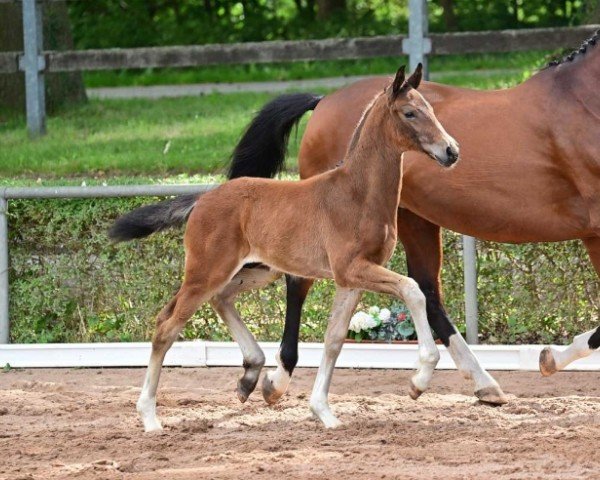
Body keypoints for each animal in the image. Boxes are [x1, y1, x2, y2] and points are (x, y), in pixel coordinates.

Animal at [111, 65, 460, 430]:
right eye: (409, 113)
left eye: (431, 109)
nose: (451, 151)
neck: (356, 194)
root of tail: (202, 199)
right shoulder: (353, 268)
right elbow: (413, 290)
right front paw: (419, 380)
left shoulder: (351, 278)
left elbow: (334, 339)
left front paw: (324, 412)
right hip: (206, 271)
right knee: (167, 325)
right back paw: (149, 417)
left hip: (255, 271)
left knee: (218, 300)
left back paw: (250, 375)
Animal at [227, 30, 600, 404]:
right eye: (409, 113)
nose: (452, 151)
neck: (584, 101)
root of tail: (324, 101)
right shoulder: (595, 232)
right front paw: (551, 358)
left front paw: (549, 357)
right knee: (299, 281)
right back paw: (276, 380)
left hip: (413, 220)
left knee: (427, 292)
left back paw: (480, 383)